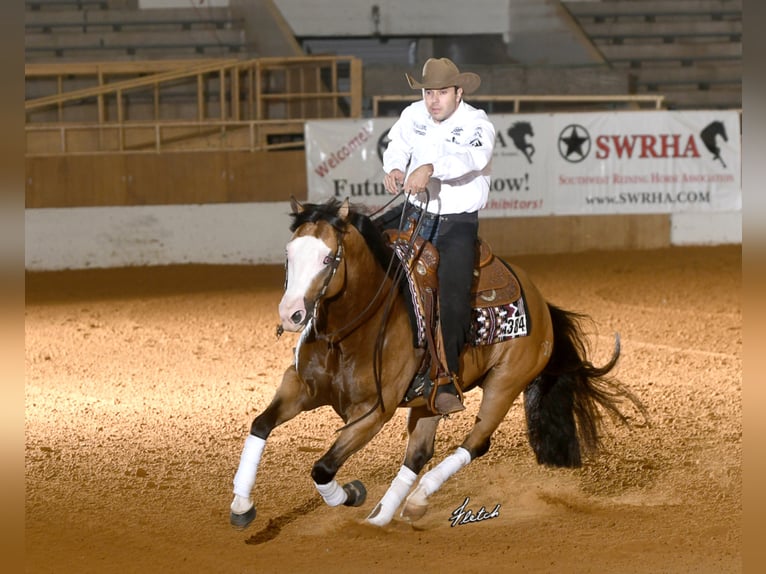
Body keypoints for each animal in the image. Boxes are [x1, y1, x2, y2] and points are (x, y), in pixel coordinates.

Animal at [230, 196, 643, 529]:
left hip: (504, 384)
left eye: (329, 257)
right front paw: (242, 505)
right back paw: (384, 515)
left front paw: (351, 493)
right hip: (428, 402)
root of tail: (541, 303)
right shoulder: (300, 386)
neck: (349, 333)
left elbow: (323, 467)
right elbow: (261, 424)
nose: (292, 314)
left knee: (476, 443)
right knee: (418, 453)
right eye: (289, 254)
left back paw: (415, 500)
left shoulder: (372, 413)